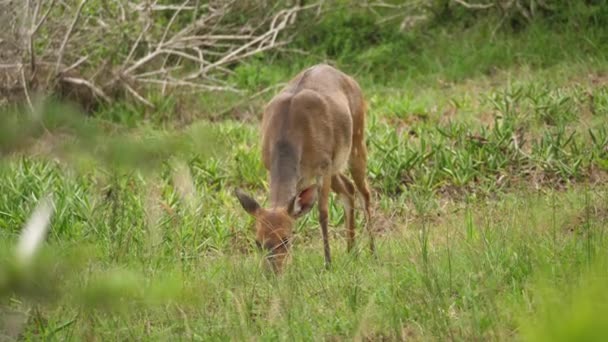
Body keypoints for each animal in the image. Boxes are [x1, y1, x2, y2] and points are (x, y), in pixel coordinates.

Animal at [235, 63, 372, 272]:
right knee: (348, 189)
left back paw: (373, 253)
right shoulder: (271, 167)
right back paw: (351, 253)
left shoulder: (323, 166)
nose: (271, 273)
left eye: (285, 240)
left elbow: (323, 213)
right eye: (257, 242)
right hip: (335, 164)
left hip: (357, 139)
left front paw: (328, 264)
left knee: (365, 192)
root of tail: (349, 78)